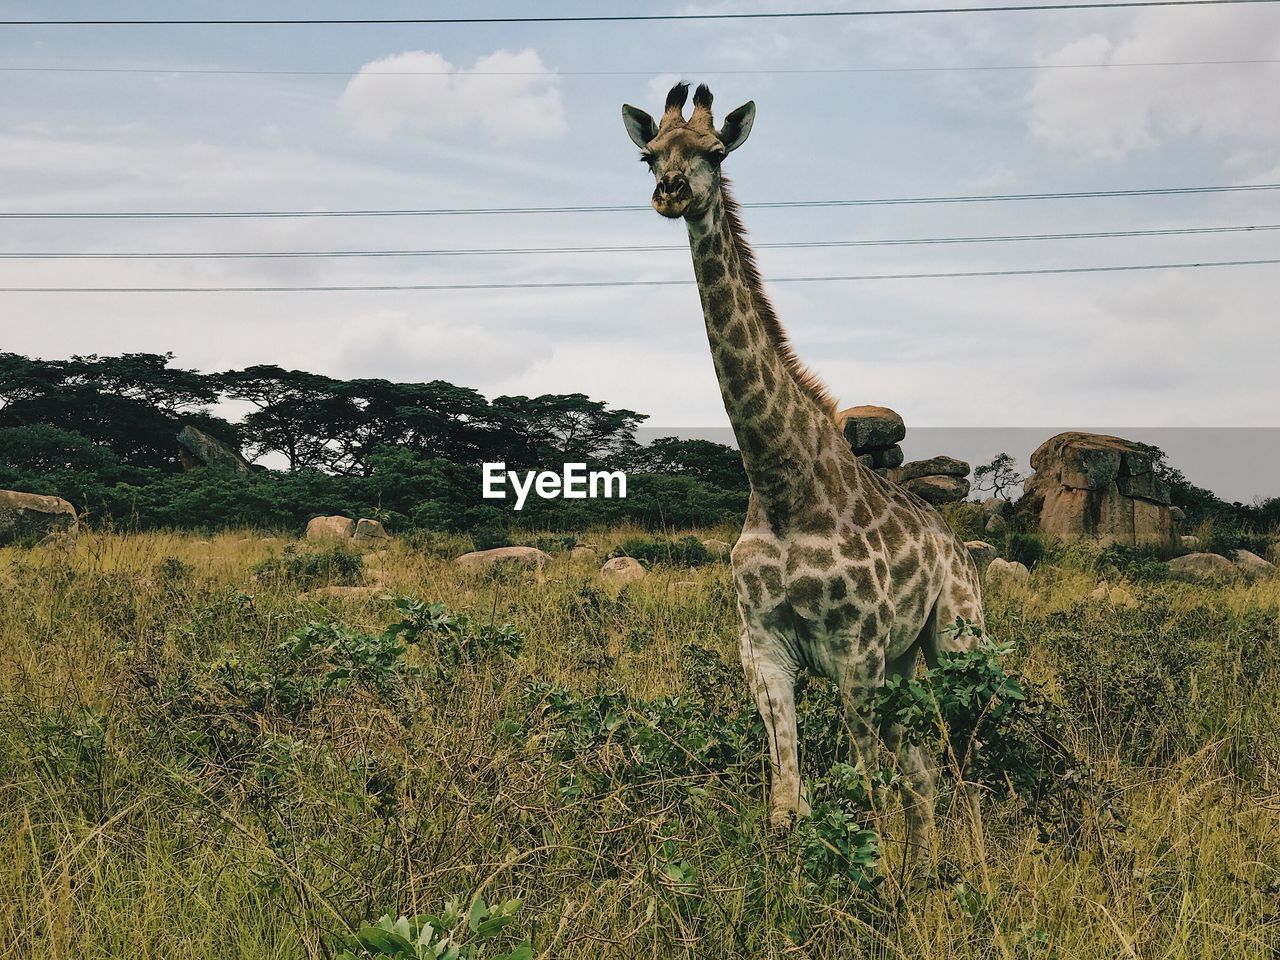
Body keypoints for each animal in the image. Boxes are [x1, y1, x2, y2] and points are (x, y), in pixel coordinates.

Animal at [624, 84, 983, 865]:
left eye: (716, 152)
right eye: (648, 154)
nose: (671, 192)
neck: (782, 482)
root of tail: (952, 540)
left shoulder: (857, 652)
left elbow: (868, 793)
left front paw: (883, 881)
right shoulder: (761, 649)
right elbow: (789, 801)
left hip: (954, 640)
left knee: (953, 759)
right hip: (903, 665)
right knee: (922, 771)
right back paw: (931, 867)